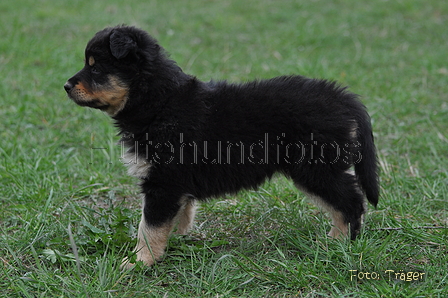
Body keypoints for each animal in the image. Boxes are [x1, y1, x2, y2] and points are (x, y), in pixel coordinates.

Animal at [64, 25, 378, 268]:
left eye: (96, 67)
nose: (65, 86)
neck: (158, 102)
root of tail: (342, 97)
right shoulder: (174, 185)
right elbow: (179, 216)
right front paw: (176, 242)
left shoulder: (162, 182)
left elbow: (148, 226)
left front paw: (139, 261)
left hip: (314, 167)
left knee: (351, 200)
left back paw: (338, 243)